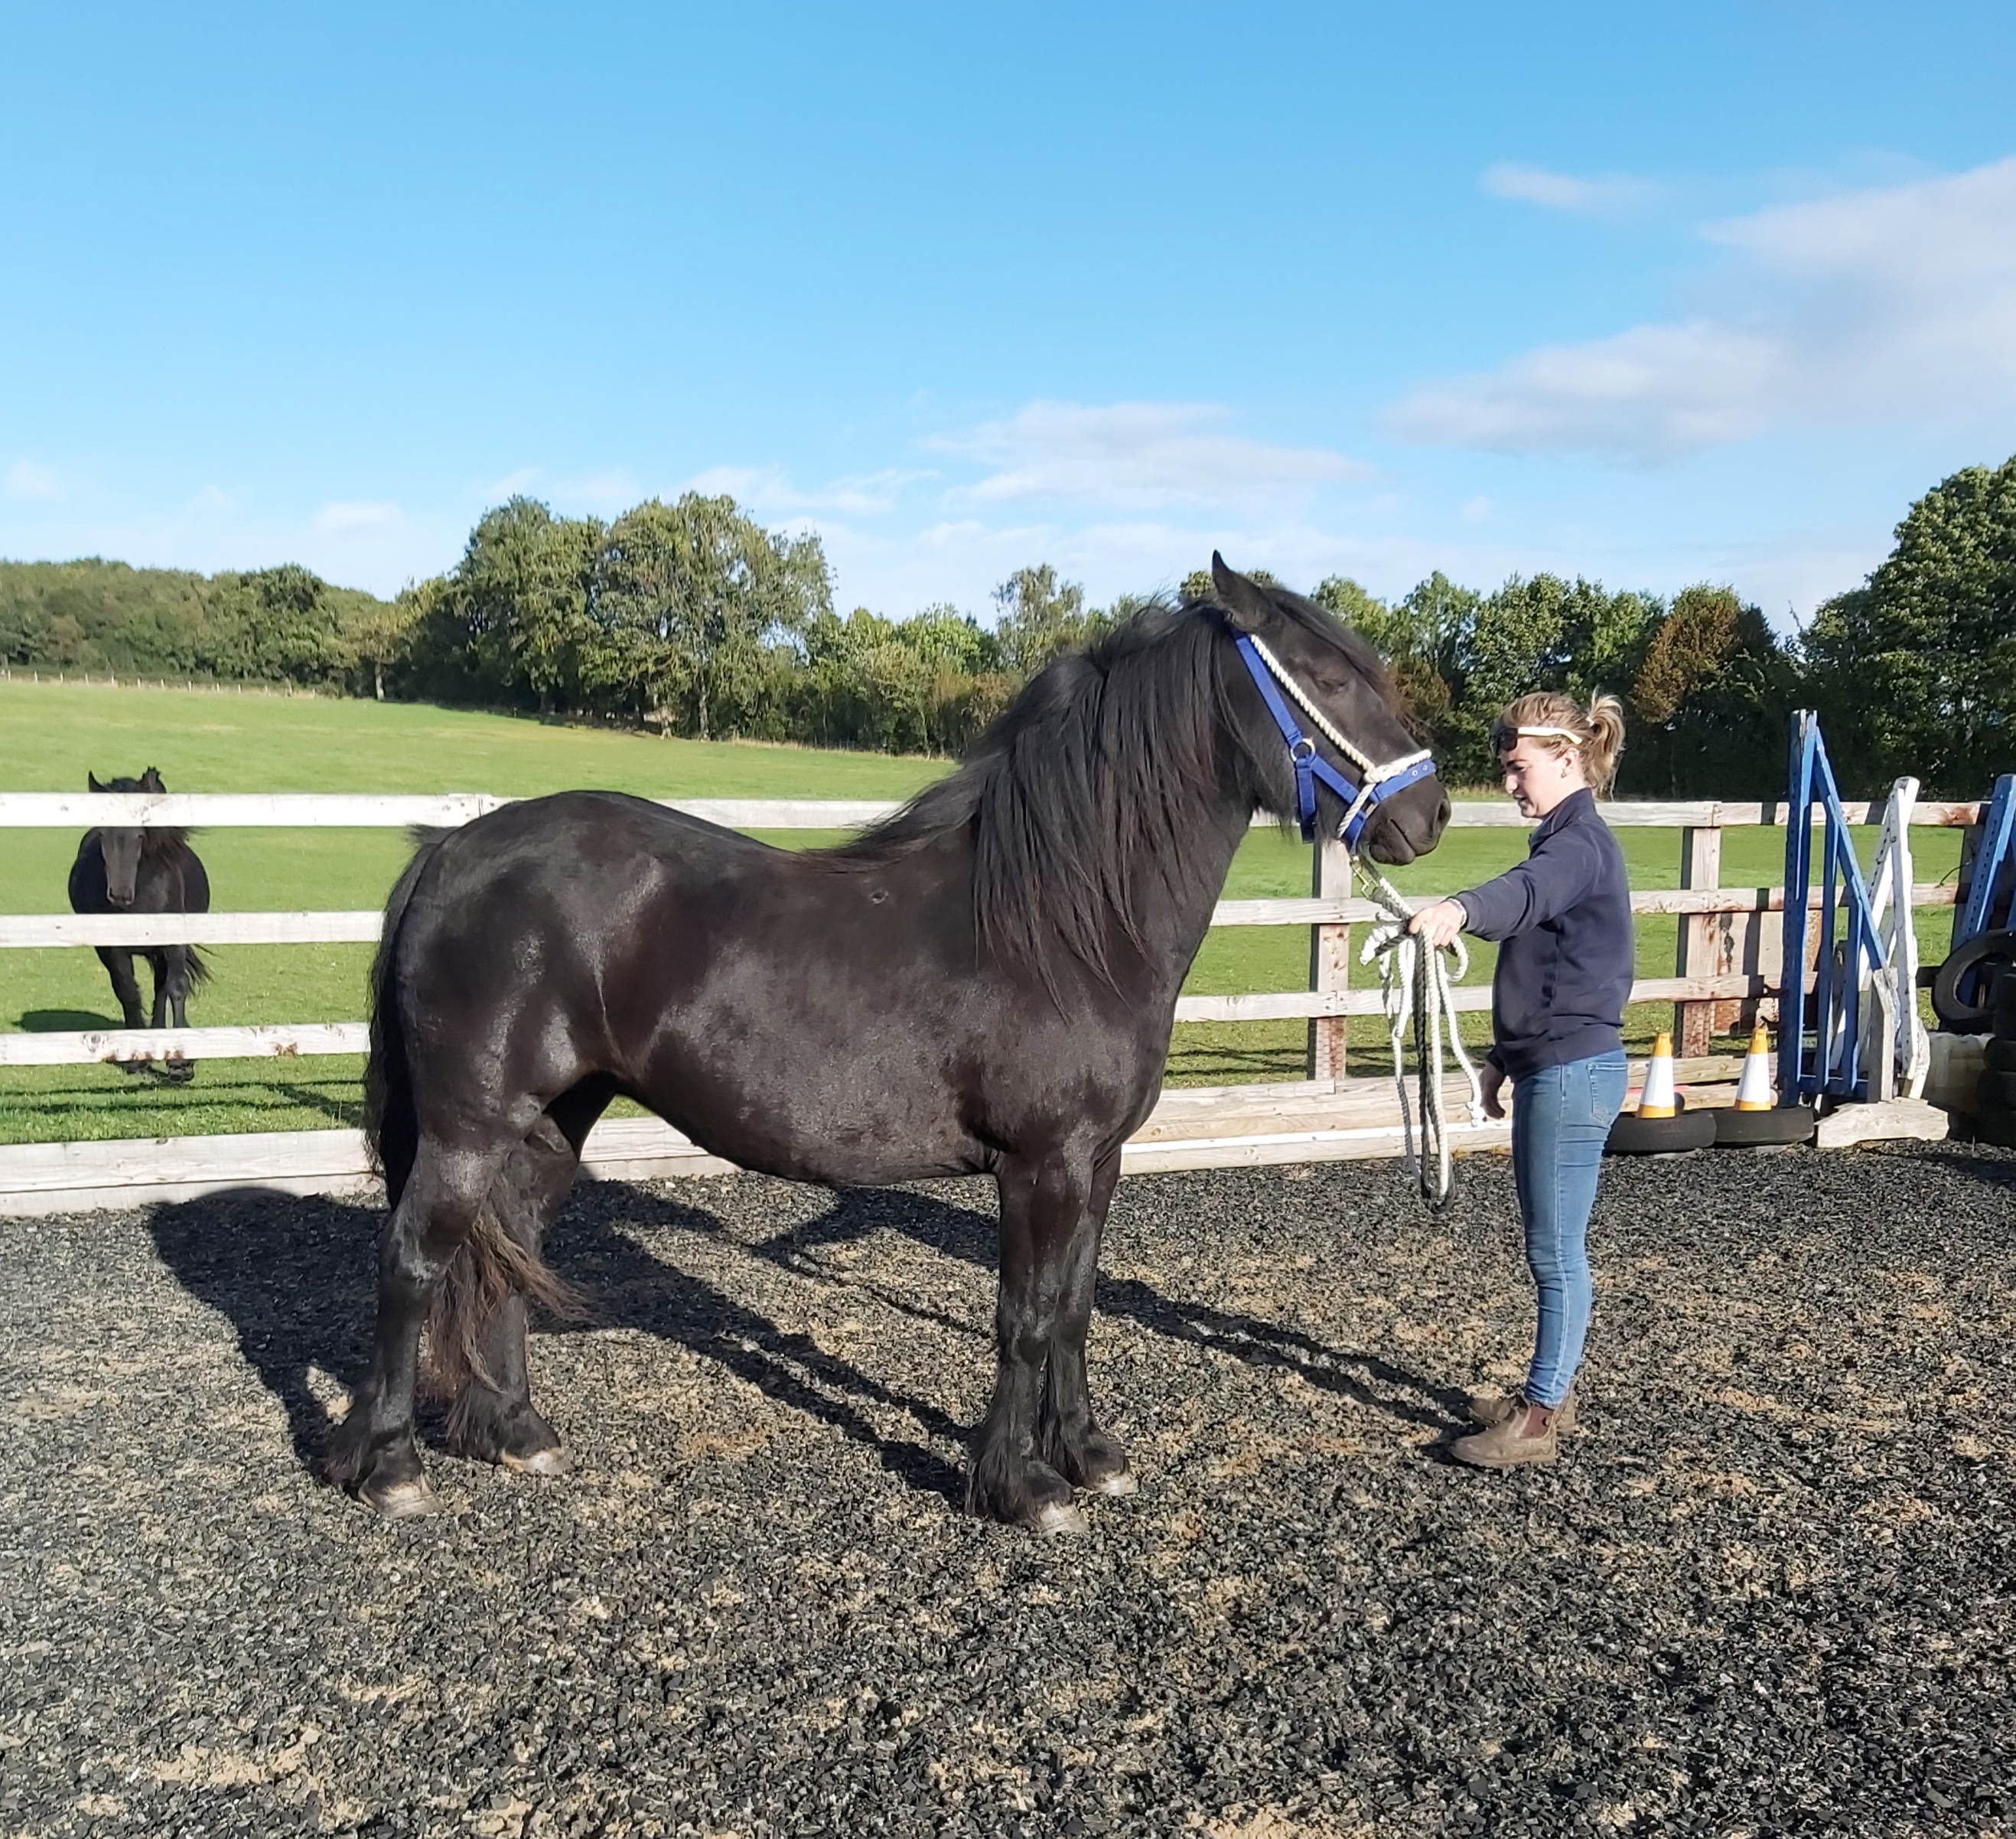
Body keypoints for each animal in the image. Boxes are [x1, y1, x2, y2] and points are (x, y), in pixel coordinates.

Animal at [66, 770, 208, 1081]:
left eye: (140, 835)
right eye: (103, 834)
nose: (119, 894)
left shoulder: (174, 942)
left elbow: (176, 987)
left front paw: (181, 1063)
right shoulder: (113, 949)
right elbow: (128, 992)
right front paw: (136, 1057)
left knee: (162, 988)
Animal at [331, 564, 1443, 1541]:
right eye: (1330, 678)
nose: (1427, 813)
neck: (1061, 924)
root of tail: (453, 848)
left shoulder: (1097, 1162)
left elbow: (1076, 1307)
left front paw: (1089, 1453)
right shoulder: (1042, 1165)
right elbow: (1024, 1315)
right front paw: (1020, 1486)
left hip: (552, 1121)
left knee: (508, 1250)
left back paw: (518, 1431)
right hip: (469, 1127)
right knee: (413, 1260)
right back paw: (390, 1466)